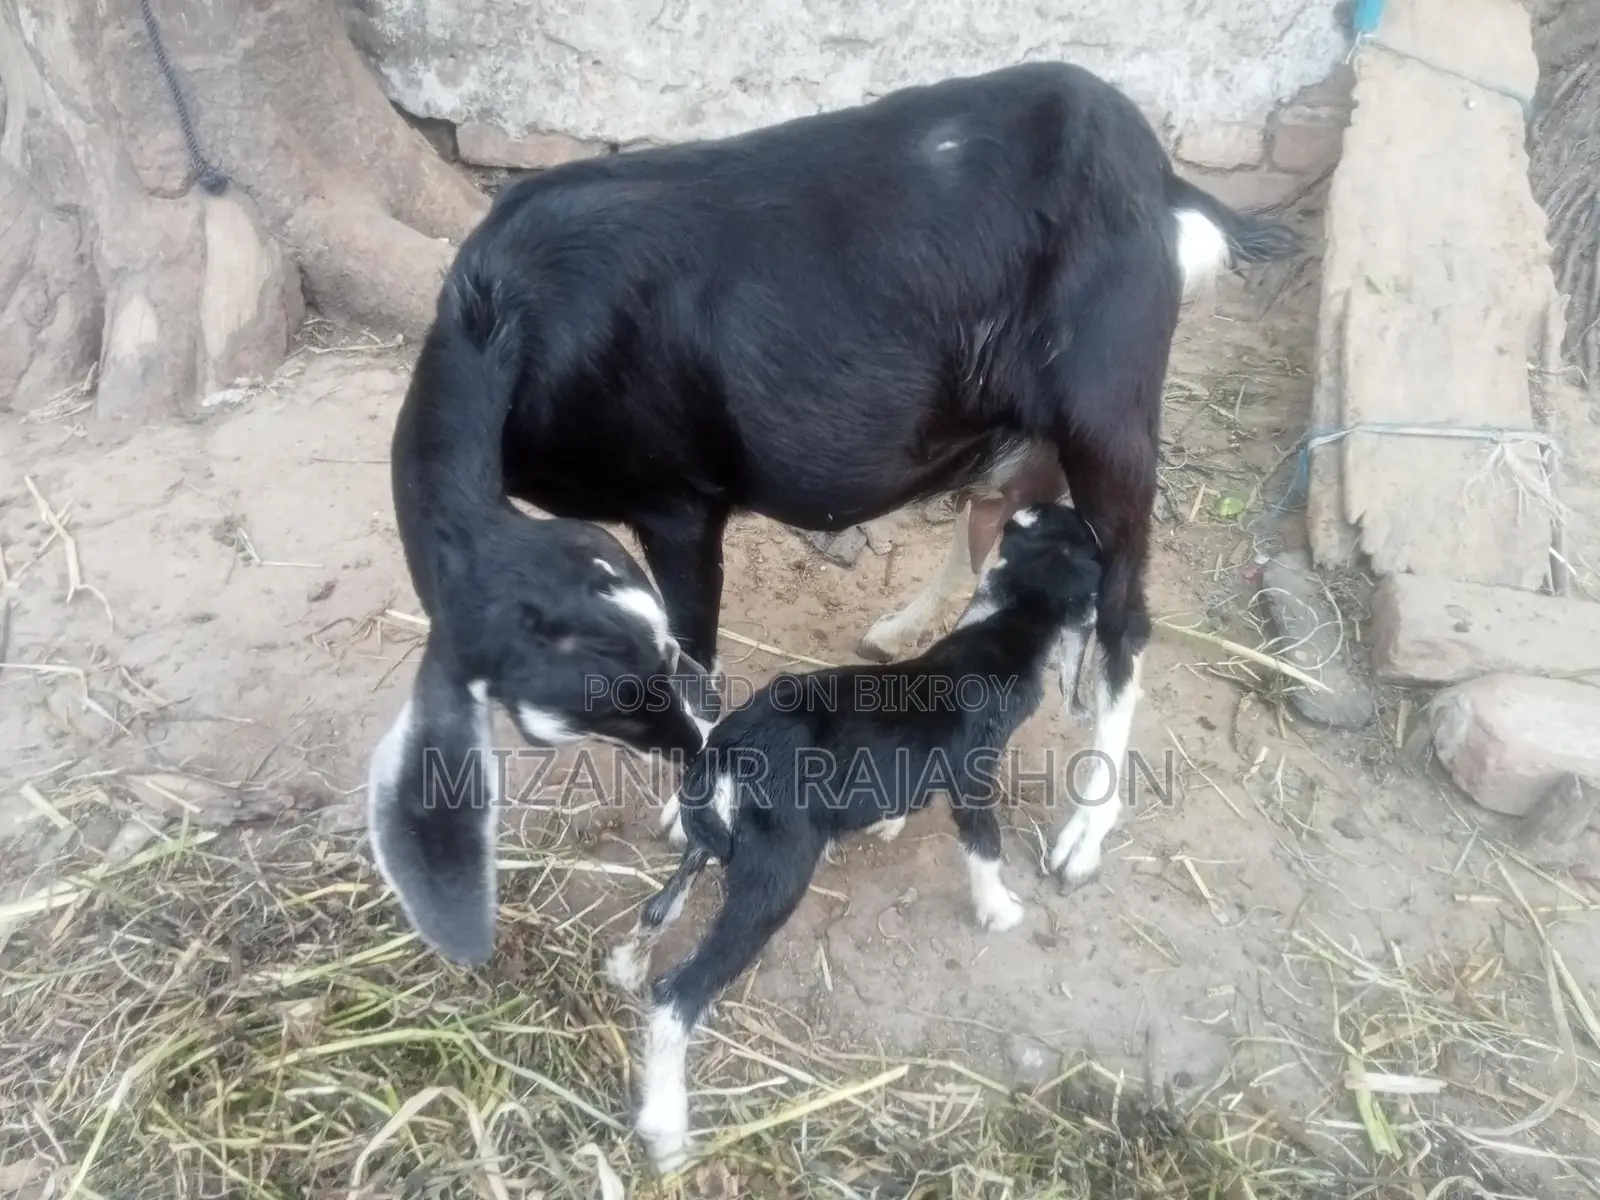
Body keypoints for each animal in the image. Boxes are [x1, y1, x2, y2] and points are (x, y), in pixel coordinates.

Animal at [368, 59, 1299, 968]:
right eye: (587, 712)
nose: (695, 757)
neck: (504, 316)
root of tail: (1154, 165)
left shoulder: (678, 504)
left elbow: (703, 642)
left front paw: (691, 803)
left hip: (1110, 399)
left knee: (1123, 606)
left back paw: (1083, 834)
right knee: (1002, 517)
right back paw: (908, 633)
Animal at [604, 502, 1102, 1170]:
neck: (1000, 637)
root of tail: (730, 752)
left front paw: (891, 821)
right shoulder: (972, 777)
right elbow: (986, 844)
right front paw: (1000, 910)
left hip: (709, 839)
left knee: (662, 905)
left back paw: (626, 965)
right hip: (775, 876)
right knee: (678, 994)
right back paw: (666, 1130)